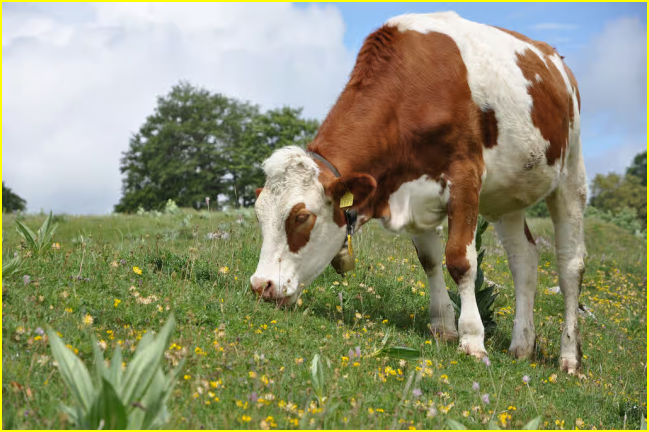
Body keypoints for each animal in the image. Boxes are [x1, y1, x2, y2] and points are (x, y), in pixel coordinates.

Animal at [248, 11, 588, 372]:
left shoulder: (465, 176)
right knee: (524, 259)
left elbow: (460, 260)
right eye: (260, 217)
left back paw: (569, 357)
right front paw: (443, 327)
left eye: (301, 217)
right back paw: (521, 345)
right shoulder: (411, 194)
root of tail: (555, 60)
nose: (261, 285)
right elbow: (429, 260)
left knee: (570, 265)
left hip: (571, 173)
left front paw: (472, 339)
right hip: (508, 195)